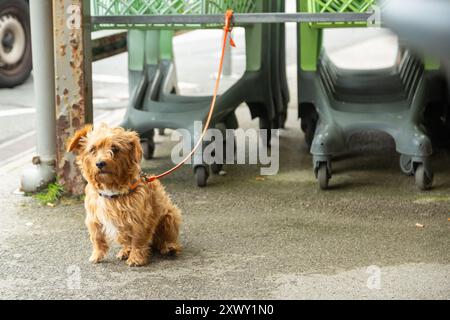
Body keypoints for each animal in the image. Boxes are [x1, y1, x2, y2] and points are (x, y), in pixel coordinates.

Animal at [66, 124, 181, 266]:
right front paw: (97, 255)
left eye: (115, 148)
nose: (100, 163)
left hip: (170, 216)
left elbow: (138, 240)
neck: (111, 191)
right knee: (127, 242)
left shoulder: (139, 220)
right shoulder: (94, 219)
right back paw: (125, 251)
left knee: (166, 239)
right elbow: (97, 238)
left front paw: (136, 258)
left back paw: (169, 247)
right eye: (92, 149)